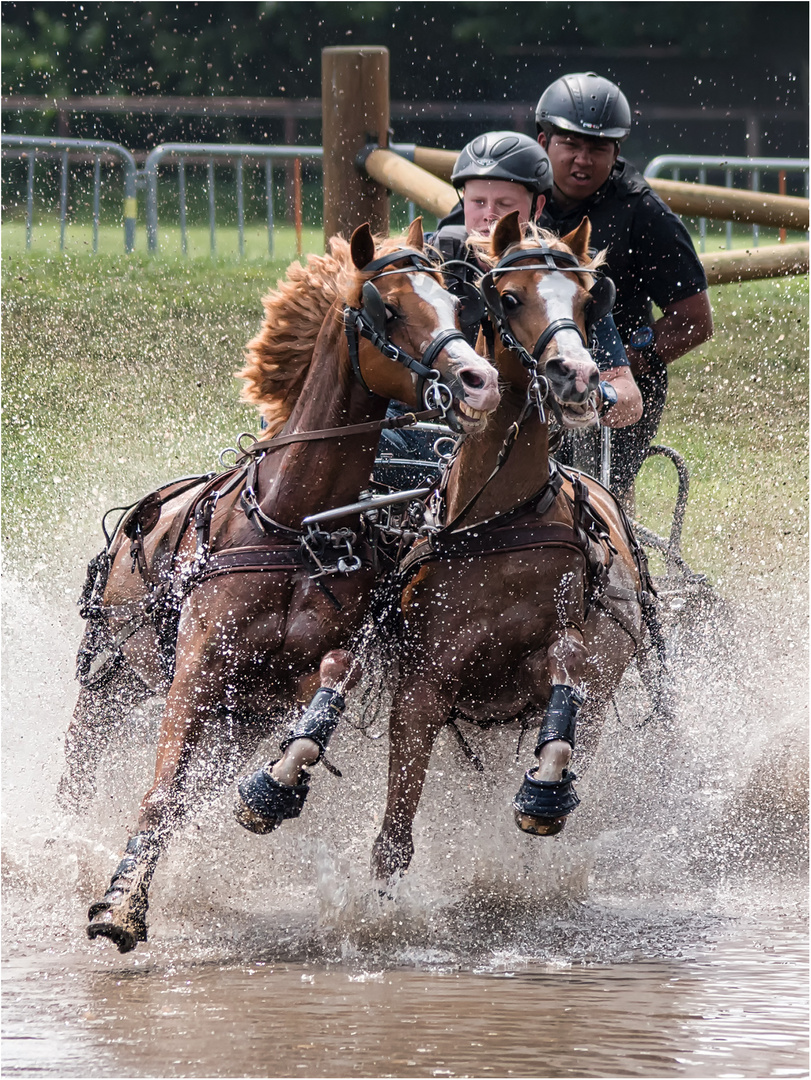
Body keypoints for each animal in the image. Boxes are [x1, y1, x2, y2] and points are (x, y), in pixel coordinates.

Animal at [71, 217, 501, 946]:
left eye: (454, 302)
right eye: (388, 308)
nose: (480, 381)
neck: (293, 524)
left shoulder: (284, 679)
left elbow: (324, 690)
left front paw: (274, 788)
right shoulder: (198, 664)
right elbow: (160, 791)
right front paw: (121, 903)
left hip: (230, 715)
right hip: (115, 674)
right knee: (85, 752)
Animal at [373, 212, 652, 885]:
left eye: (586, 298)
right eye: (508, 297)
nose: (579, 376)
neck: (498, 524)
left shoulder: (564, 654)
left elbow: (564, 686)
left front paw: (542, 795)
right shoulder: (420, 688)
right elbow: (394, 833)